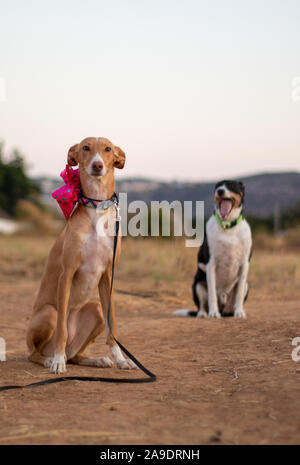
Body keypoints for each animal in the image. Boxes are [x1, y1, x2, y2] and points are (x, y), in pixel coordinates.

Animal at [26, 135, 136, 374]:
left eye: (107, 149)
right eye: (86, 148)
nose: (97, 165)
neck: (97, 208)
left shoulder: (108, 276)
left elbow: (113, 326)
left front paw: (121, 359)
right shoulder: (67, 273)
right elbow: (61, 330)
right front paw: (57, 362)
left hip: (95, 310)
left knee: (75, 355)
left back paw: (95, 359)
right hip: (48, 313)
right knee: (35, 353)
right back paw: (52, 359)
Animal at [175, 181, 252, 320]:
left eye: (232, 186)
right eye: (217, 186)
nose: (220, 191)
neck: (227, 227)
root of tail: (224, 309)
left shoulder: (244, 263)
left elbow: (238, 294)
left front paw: (239, 312)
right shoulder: (211, 263)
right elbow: (212, 294)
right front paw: (213, 313)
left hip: (246, 286)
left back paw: (233, 311)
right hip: (198, 285)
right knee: (201, 306)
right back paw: (203, 314)